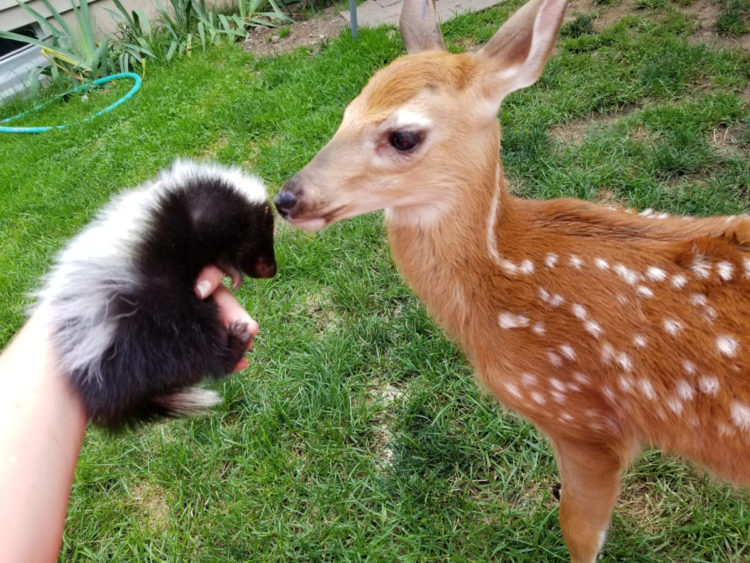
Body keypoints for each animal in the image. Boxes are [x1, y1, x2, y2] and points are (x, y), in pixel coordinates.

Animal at [33, 161, 278, 434]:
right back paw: (237, 340)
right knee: (200, 349)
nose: (271, 270)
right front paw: (233, 272)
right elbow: (220, 251)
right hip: (156, 325)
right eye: (266, 236)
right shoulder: (203, 220)